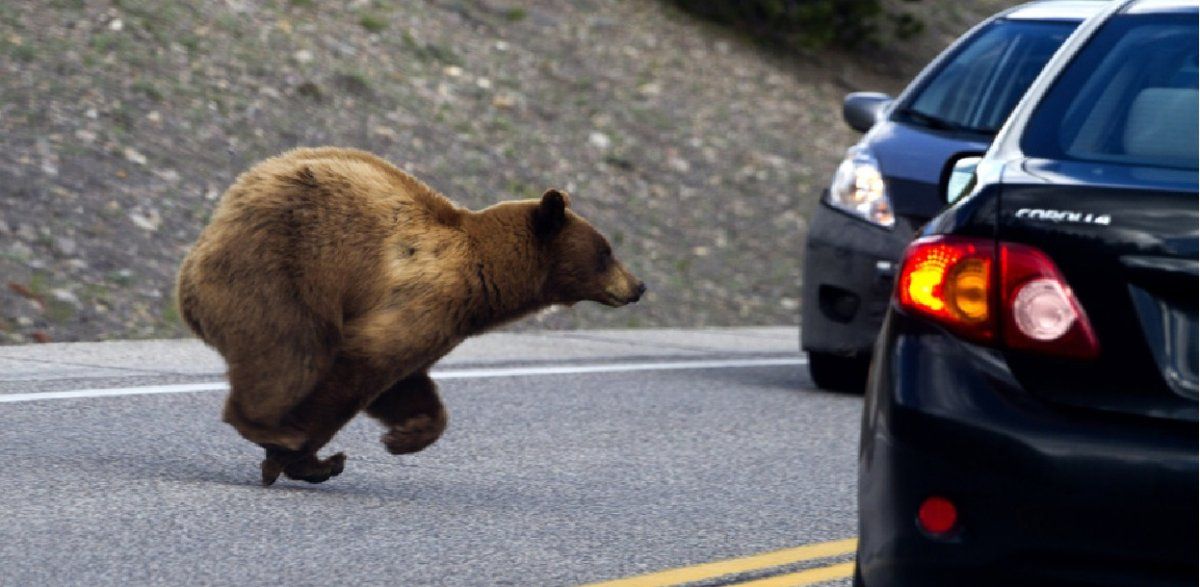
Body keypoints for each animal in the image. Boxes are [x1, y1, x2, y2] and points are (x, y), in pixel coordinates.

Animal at [175, 147, 644, 486]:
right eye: (606, 252)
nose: (638, 285)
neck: (486, 279)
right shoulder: (427, 299)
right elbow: (361, 364)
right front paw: (306, 456)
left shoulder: (441, 322)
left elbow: (403, 382)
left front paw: (405, 436)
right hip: (279, 273)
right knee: (291, 352)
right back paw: (268, 428)